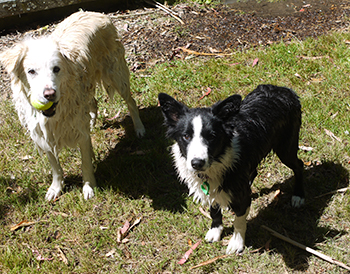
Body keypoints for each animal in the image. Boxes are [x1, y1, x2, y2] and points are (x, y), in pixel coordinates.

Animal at [0, 11, 145, 199]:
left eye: (56, 69)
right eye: (31, 71)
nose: (49, 94)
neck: (55, 114)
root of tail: (96, 13)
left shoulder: (80, 132)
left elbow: (85, 163)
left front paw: (89, 187)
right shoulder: (42, 134)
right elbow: (55, 166)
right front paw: (56, 187)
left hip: (117, 75)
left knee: (131, 102)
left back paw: (140, 128)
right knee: (93, 103)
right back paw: (93, 121)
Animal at [159, 84, 304, 254]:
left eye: (212, 136)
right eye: (186, 136)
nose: (197, 163)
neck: (218, 160)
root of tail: (284, 89)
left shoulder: (240, 195)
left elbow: (239, 221)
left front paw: (237, 243)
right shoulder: (212, 190)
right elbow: (214, 211)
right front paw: (215, 231)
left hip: (286, 149)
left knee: (300, 165)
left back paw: (298, 195)